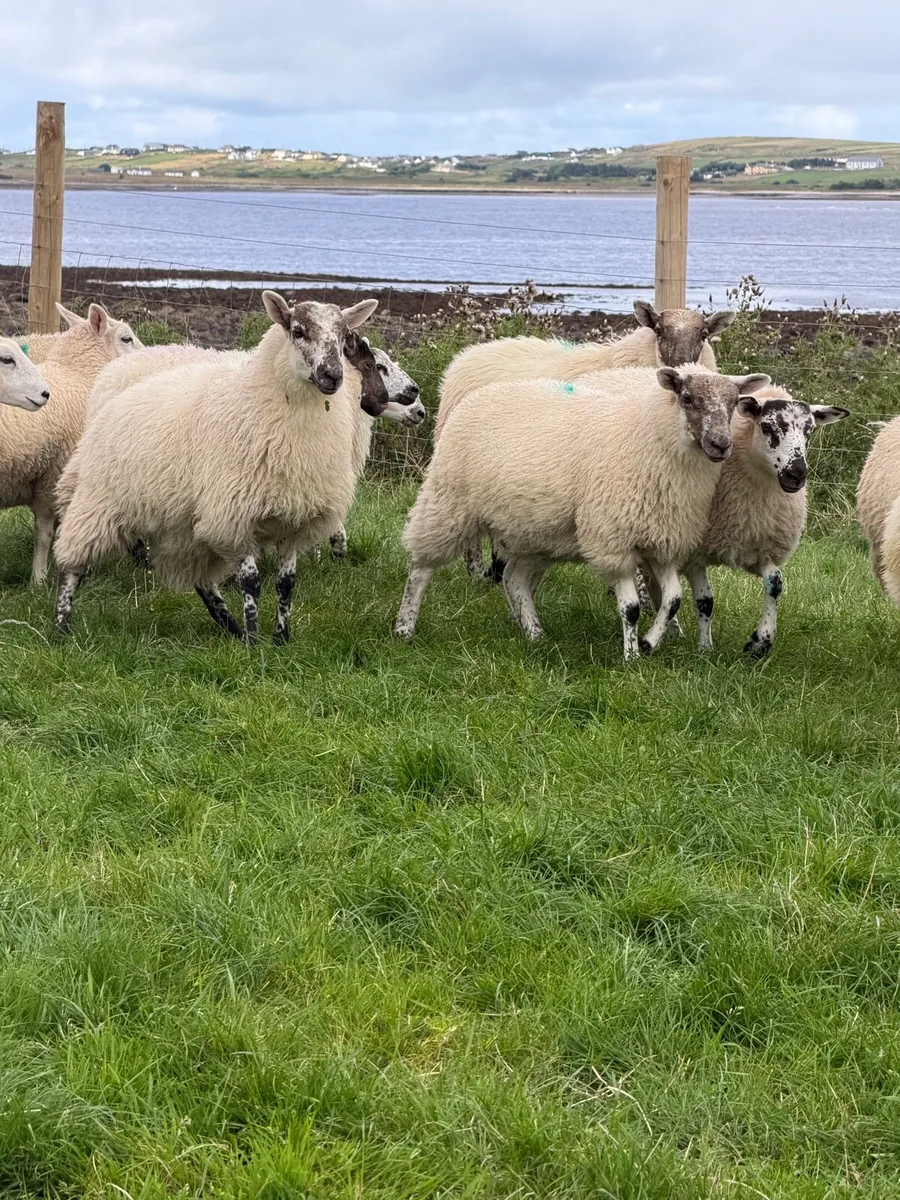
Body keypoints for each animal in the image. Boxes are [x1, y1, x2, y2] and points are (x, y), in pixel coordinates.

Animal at [53, 292, 381, 641]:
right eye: (298, 331)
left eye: (343, 336)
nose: (332, 376)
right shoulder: (235, 515)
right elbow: (251, 583)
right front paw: (255, 641)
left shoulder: (296, 520)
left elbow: (286, 584)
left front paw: (280, 639)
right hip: (98, 502)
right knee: (71, 565)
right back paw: (61, 627)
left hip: (181, 525)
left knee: (202, 582)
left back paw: (230, 626)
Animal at [394, 364, 770, 661]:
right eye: (688, 398)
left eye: (733, 403)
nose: (721, 445)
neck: (652, 439)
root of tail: (480, 394)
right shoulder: (612, 539)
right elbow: (631, 608)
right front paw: (631, 657)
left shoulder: (661, 540)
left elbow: (674, 600)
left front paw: (649, 643)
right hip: (448, 502)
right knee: (420, 567)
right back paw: (404, 627)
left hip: (534, 533)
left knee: (514, 579)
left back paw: (534, 634)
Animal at [660, 387, 848, 656]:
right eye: (767, 427)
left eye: (810, 431)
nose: (797, 474)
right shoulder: (693, 554)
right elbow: (705, 601)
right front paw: (705, 649)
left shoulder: (760, 549)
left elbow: (775, 584)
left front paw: (760, 643)